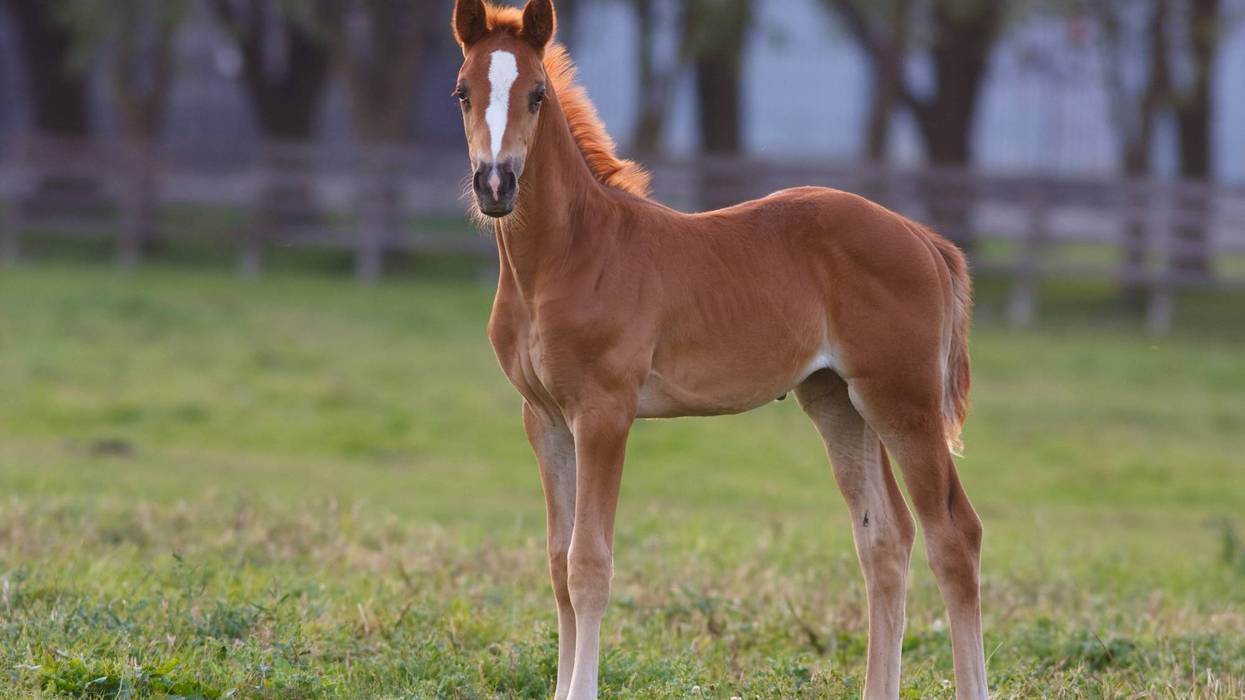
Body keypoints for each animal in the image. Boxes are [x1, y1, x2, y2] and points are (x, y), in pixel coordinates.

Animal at [450, 1, 987, 698]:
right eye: (463, 92)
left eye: (537, 94)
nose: (496, 184)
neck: (566, 255)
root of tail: (923, 238)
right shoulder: (542, 418)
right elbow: (556, 563)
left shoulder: (604, 412)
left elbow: (588, 564)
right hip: (838, 401)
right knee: (885, 539)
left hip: (904, 402)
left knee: (955, 536)